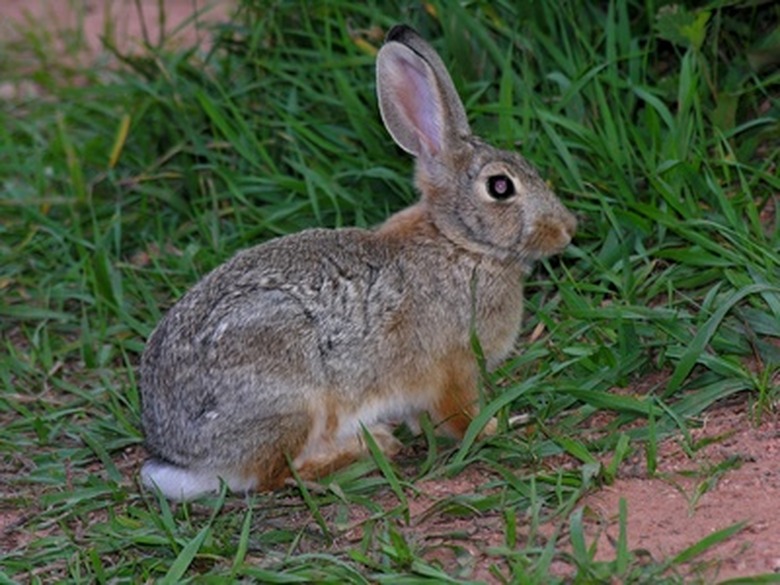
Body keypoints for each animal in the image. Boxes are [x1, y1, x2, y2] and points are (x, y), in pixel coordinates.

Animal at [142, 21, 580, 498]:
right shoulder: (455, 366)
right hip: (293, 398)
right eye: (500, 187)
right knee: (273, 477)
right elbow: (461, 417)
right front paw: (502, 426)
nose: (568, 229)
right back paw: (364, 450)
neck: (459, 243)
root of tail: (185, 458)